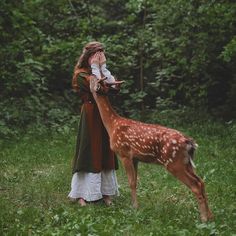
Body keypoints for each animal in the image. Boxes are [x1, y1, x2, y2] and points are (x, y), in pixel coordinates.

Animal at [89, 76, 213, 222]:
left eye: (94, 80)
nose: (89, 76)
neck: (112, 125)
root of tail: (189, 143)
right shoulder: (135, 158)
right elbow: (135, 181)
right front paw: (136, 206)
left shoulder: (124, 153)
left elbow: (131, 182)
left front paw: (134, 208)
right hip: (186, 162)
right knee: (201, 181)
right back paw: (211, 216)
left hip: (174, 163)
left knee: (195, 185)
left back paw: (203, 218)